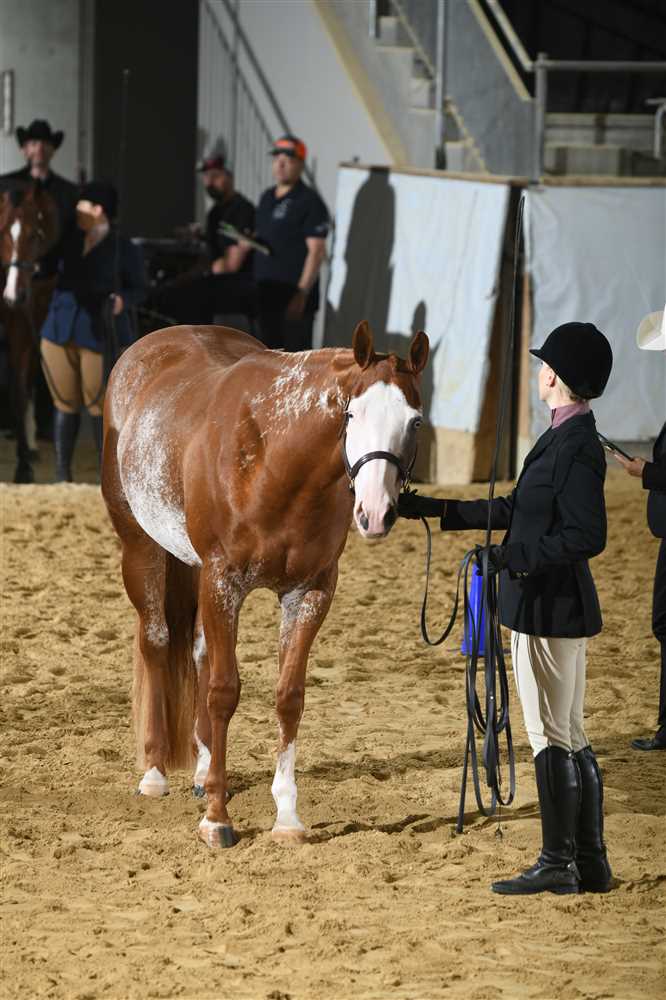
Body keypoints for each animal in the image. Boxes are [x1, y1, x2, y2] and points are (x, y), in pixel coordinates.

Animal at [101, 320, 429, 848]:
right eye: (351, 412)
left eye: (415, 421)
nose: (376, 512)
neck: (275, 462)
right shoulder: (223, 581)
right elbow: (223, 691)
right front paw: (217, 819)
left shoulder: (309, 593)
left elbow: (288, 697)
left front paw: (287, 818)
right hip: (141, 549)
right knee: (156, 641)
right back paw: (154, 773)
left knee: (197, 651)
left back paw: (201, 771)